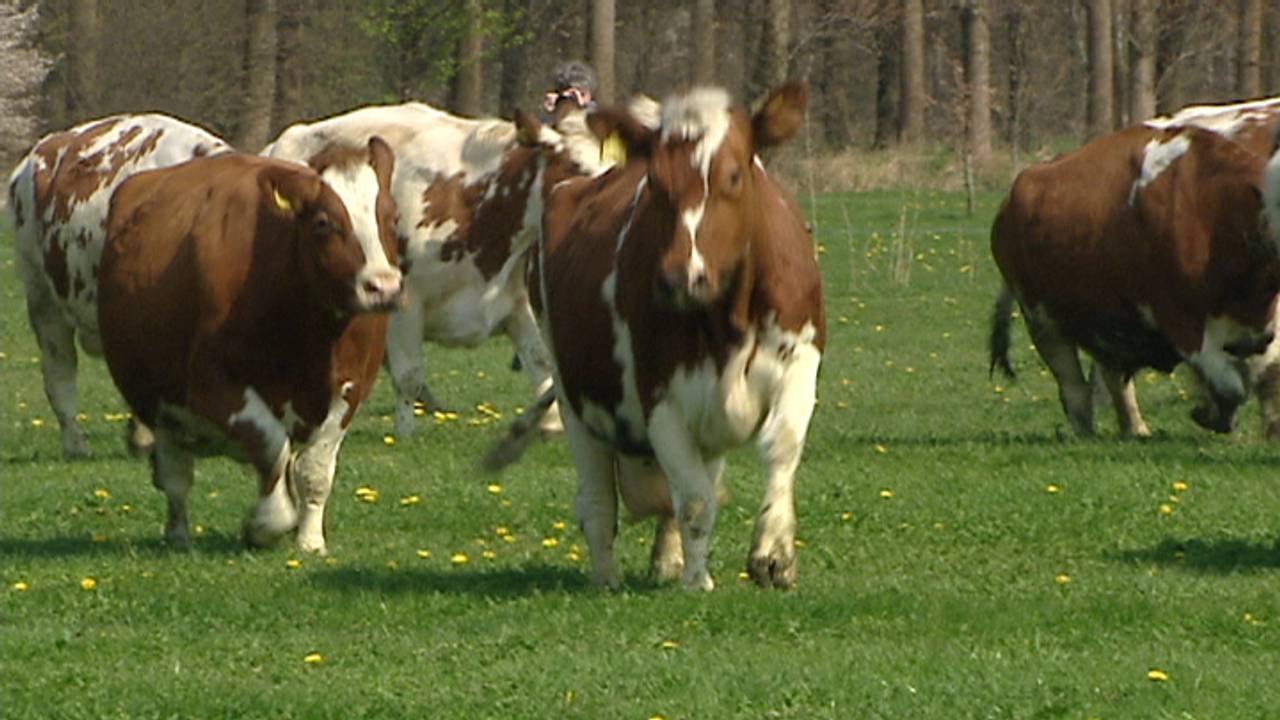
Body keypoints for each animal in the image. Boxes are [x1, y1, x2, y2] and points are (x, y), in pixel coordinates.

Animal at [97, 143, 403, 553]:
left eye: (392, 217)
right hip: (162, 408)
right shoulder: (211, 387)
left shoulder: (349, 390)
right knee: (177, 475)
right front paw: (268, 522)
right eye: (323, 223)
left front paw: (309, 540)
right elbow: (271, 444)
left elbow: (314, 470)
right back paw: (178, 535)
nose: (383, 286)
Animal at [262, 101, 610, 439]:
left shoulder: (515, 302)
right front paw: (405, 434)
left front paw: (550, 425)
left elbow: (540, 361)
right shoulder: (404, 302)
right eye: (577, 166)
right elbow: (408, 375)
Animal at [490, 83, 825, 592]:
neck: (729, 319)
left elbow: (779, 448)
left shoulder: (800, 362)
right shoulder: (661, 398)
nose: (679, 278)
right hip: (573, 399)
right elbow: (695, 498)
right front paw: (697, 582)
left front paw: (774, 554)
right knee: (598, 502)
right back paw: (608, 578)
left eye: (733, 176)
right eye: (655, 182)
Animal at [989, 97, 1280, 438]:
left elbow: (1263, 376)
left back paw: (1134, 430)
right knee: (1074, 389)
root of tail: (1015, 193)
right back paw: (1088, 435)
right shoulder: (1181, 321)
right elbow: (1231, 385)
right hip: (1043, 321)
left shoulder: (1260, 328)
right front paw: (1212, 414)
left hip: (1108, 322)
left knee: (1110, 376)